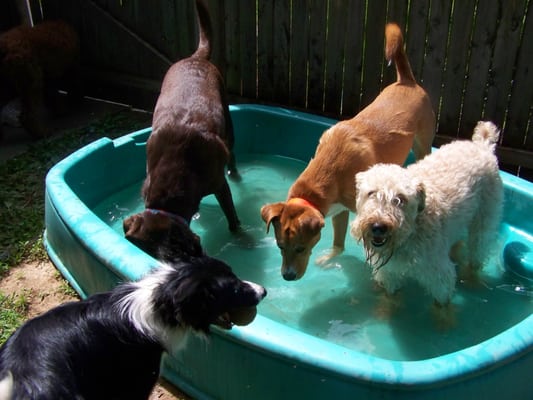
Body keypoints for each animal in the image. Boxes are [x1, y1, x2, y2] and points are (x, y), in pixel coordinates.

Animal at [260, 24, 434, 282]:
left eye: (300, 248)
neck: (328, 169)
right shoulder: (338, 211)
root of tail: (407, 81)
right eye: (280, 246)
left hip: (423, 144)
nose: (287, 276)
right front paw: (332, 257)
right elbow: (339, 243)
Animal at [350, 120, 502, 304]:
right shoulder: (389, 274)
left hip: (484, 221)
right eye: (371, 193)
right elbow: (391, 298)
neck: (412, 230)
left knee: (477, 251)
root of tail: (482, 146)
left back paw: (472, 278)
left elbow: (442, 305)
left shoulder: (439, 276)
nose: (378, 226)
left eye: (400, 198)